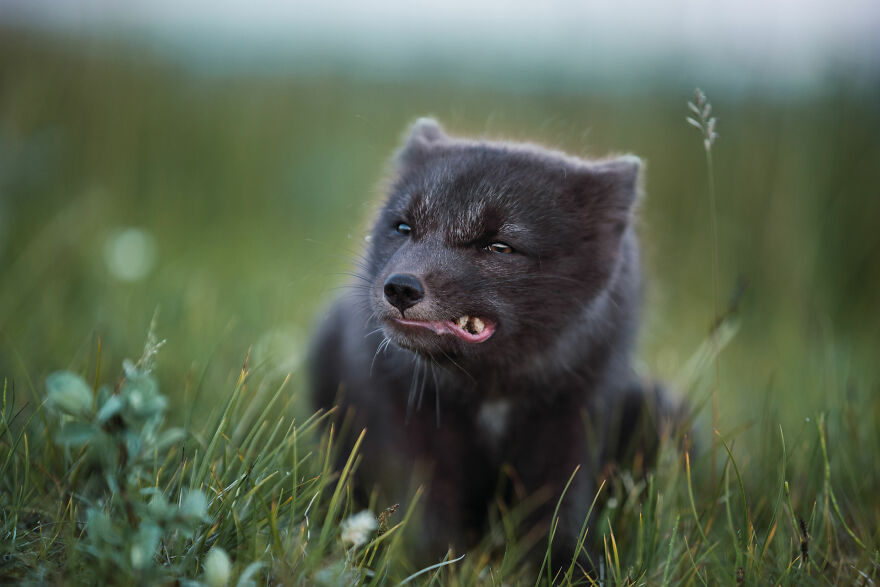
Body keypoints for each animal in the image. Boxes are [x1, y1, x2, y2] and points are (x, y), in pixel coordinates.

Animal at [309, 118, 683, 570]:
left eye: (500, 246)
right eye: (403, 228)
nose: (399, 287)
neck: (492, 388)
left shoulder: (575, 414)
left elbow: (559, 511)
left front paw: (570, 568)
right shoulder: (411, 420)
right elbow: (426, 507)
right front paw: (430, 566)